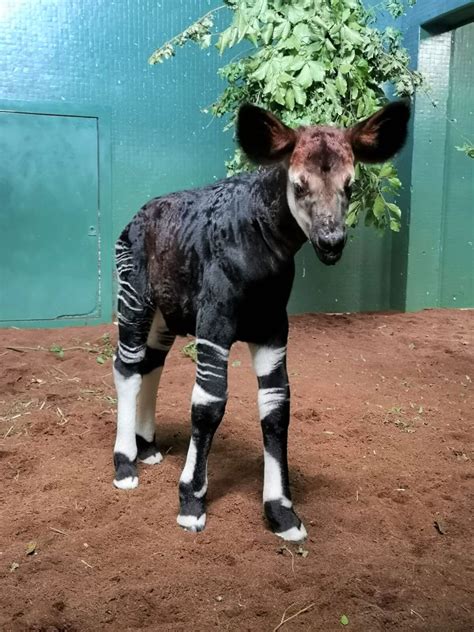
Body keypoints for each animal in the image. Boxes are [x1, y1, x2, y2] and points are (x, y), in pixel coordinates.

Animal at [113, 101, 410, 540]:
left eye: (350, 185)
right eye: (299, 185)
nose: (331, 243)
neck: (260, 244)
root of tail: (136, 215)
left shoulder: (273, 331)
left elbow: (276, 410)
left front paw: (281, 511)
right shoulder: (215, 326)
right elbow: (208, 406)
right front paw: (191, 501)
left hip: (166, 315)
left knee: (151, 364)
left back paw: (147, 447)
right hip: (133, 297)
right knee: (127, 366)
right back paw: (125, 463)